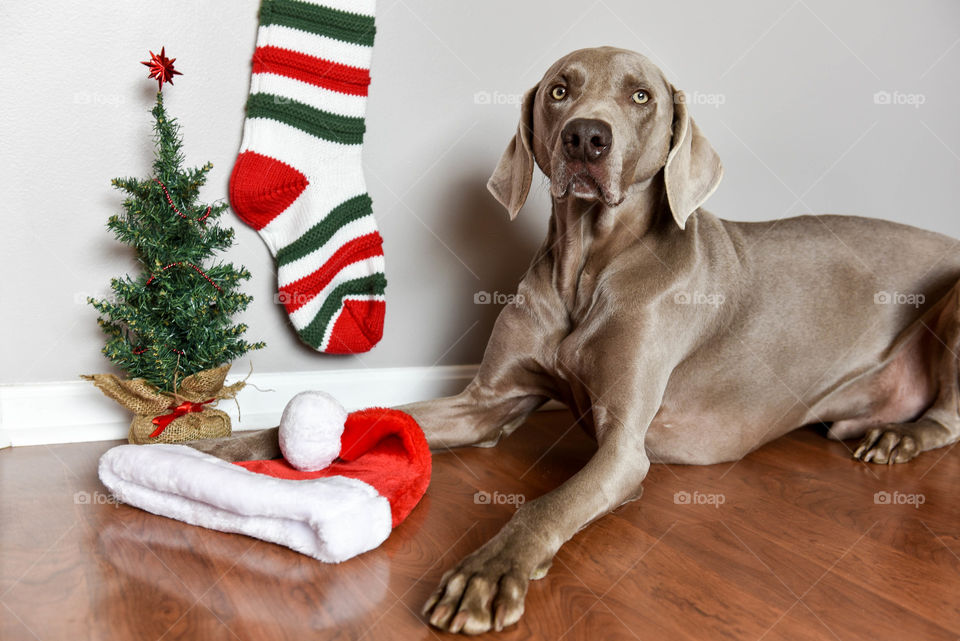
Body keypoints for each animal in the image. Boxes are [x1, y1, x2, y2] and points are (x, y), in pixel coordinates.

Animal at [191, 46, 960, 636]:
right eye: (561, 89)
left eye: (642, 95)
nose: (588, 137)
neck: (588, 268)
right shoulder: (487, 403)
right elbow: (366, 416)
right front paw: (227, 446)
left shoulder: (624, 449)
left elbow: (545, 505)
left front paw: (487, 572)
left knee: (947, 418)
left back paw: (898, 438)